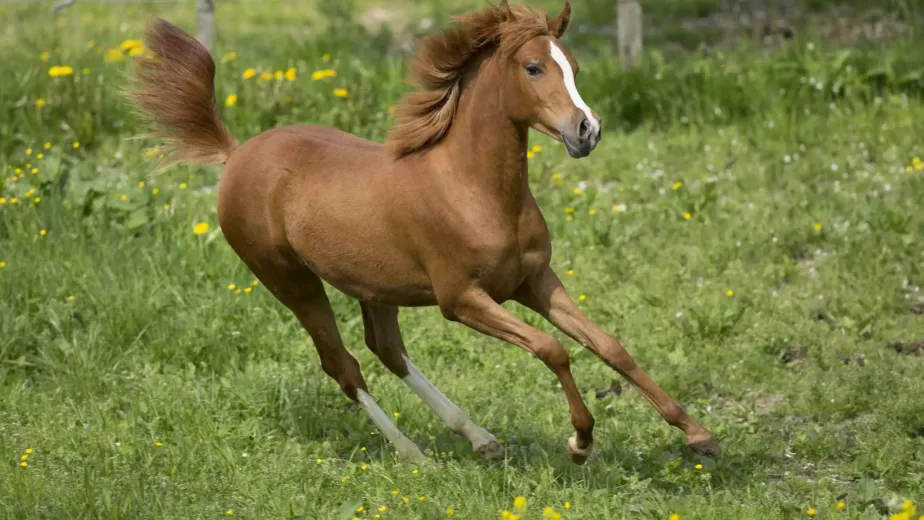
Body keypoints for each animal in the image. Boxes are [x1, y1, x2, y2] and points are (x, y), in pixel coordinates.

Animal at [128, 0, 720, 464]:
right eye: (533, 67)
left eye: (573, 66)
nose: (587, 130)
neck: (474, 190)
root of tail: (236, 154)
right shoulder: (462, 300)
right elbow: (553, 349)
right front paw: (580, 441)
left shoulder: (535, 282)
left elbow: (611, 347)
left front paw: (698, 435)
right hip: (290, 281)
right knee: (343, 365)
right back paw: (415, 455)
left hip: (373, 287)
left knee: (386, 350)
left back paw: (481, 439)